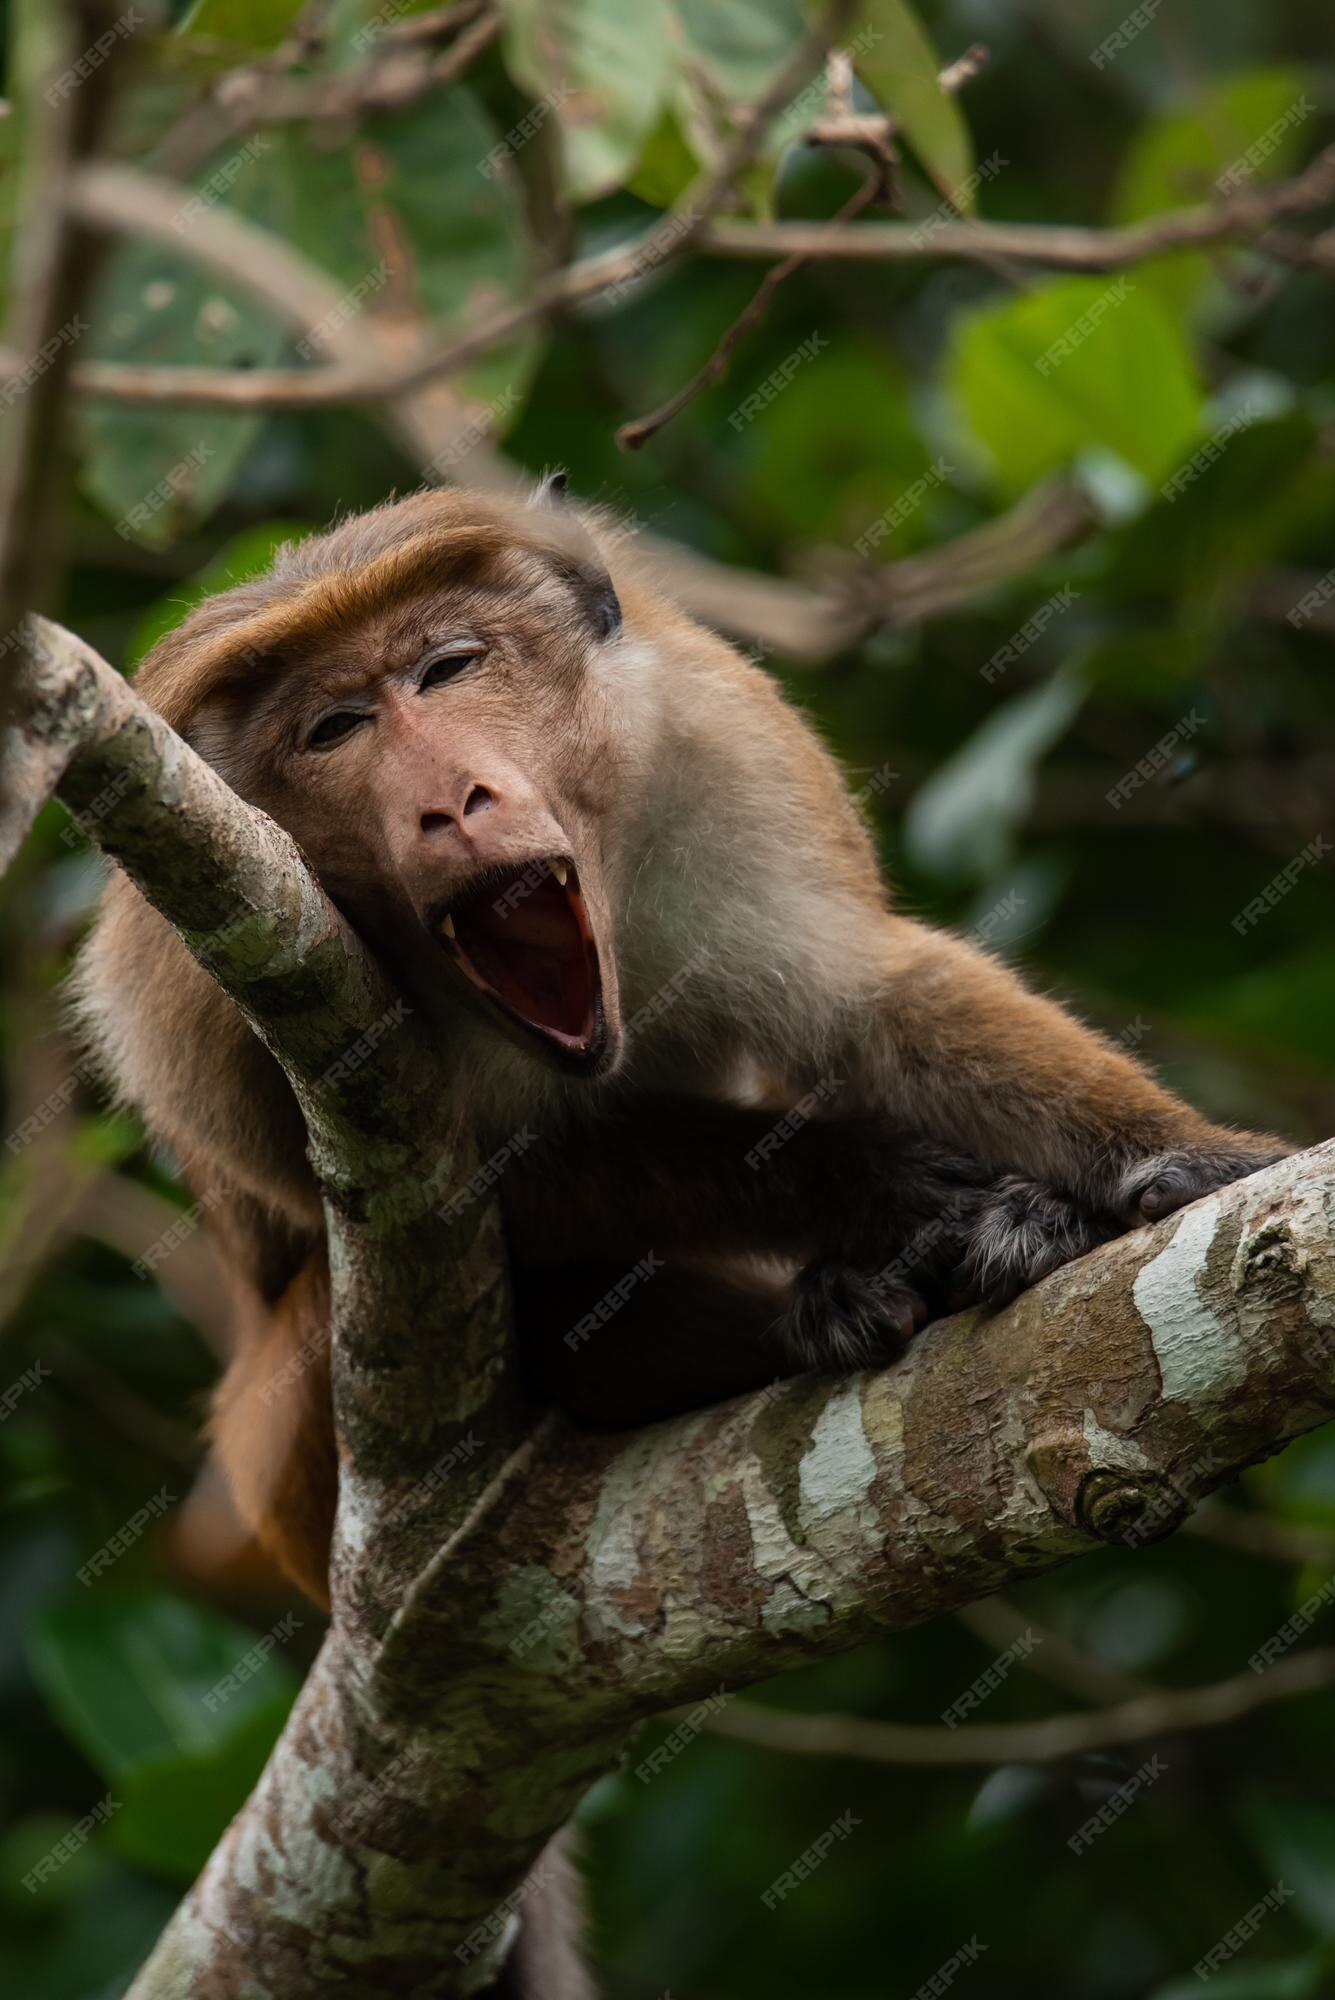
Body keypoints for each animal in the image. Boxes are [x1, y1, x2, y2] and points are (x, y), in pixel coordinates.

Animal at [72, 472, 1279, 1608]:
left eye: (447, 669)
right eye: (333, 730)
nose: (450, 803)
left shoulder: (717, 740)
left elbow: (865, 1000)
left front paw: (1178, 1153)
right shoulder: (202, 977)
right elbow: (444, 1200)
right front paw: (868, 1177)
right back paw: (818, 1314)